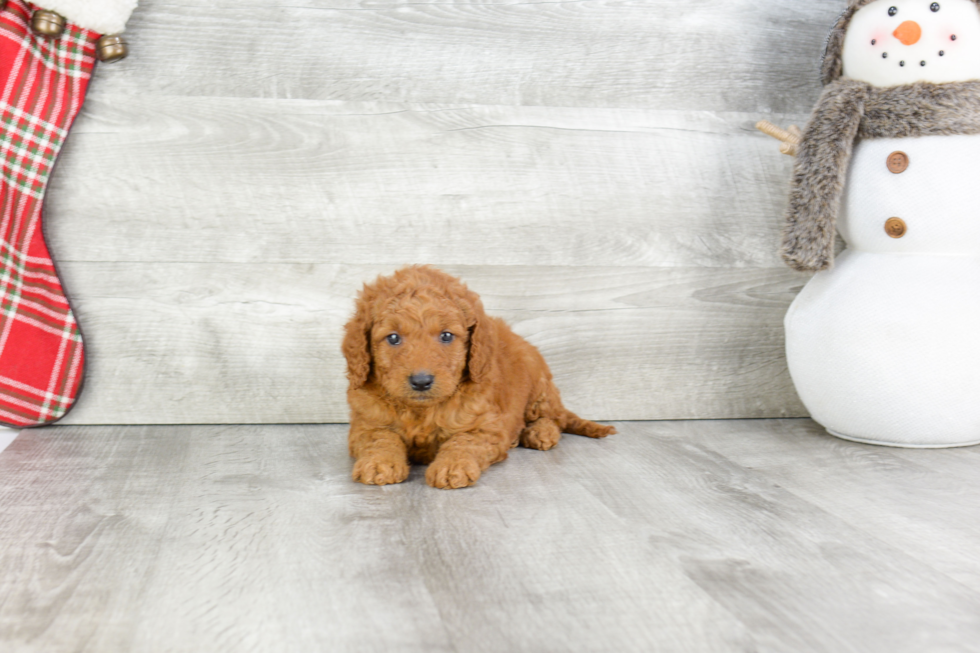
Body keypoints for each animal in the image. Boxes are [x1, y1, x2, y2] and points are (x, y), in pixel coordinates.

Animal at [342, 266, 612, 488]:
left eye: (446, 336)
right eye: (393, 338)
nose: (421, 381)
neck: (421, 412)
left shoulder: (486, 426)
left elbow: (463, 441)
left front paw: (452, 466)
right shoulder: (366, 423)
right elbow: (380, 438)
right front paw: (379, 463)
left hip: (540, 388)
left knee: (553, 418)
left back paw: (539, 433)